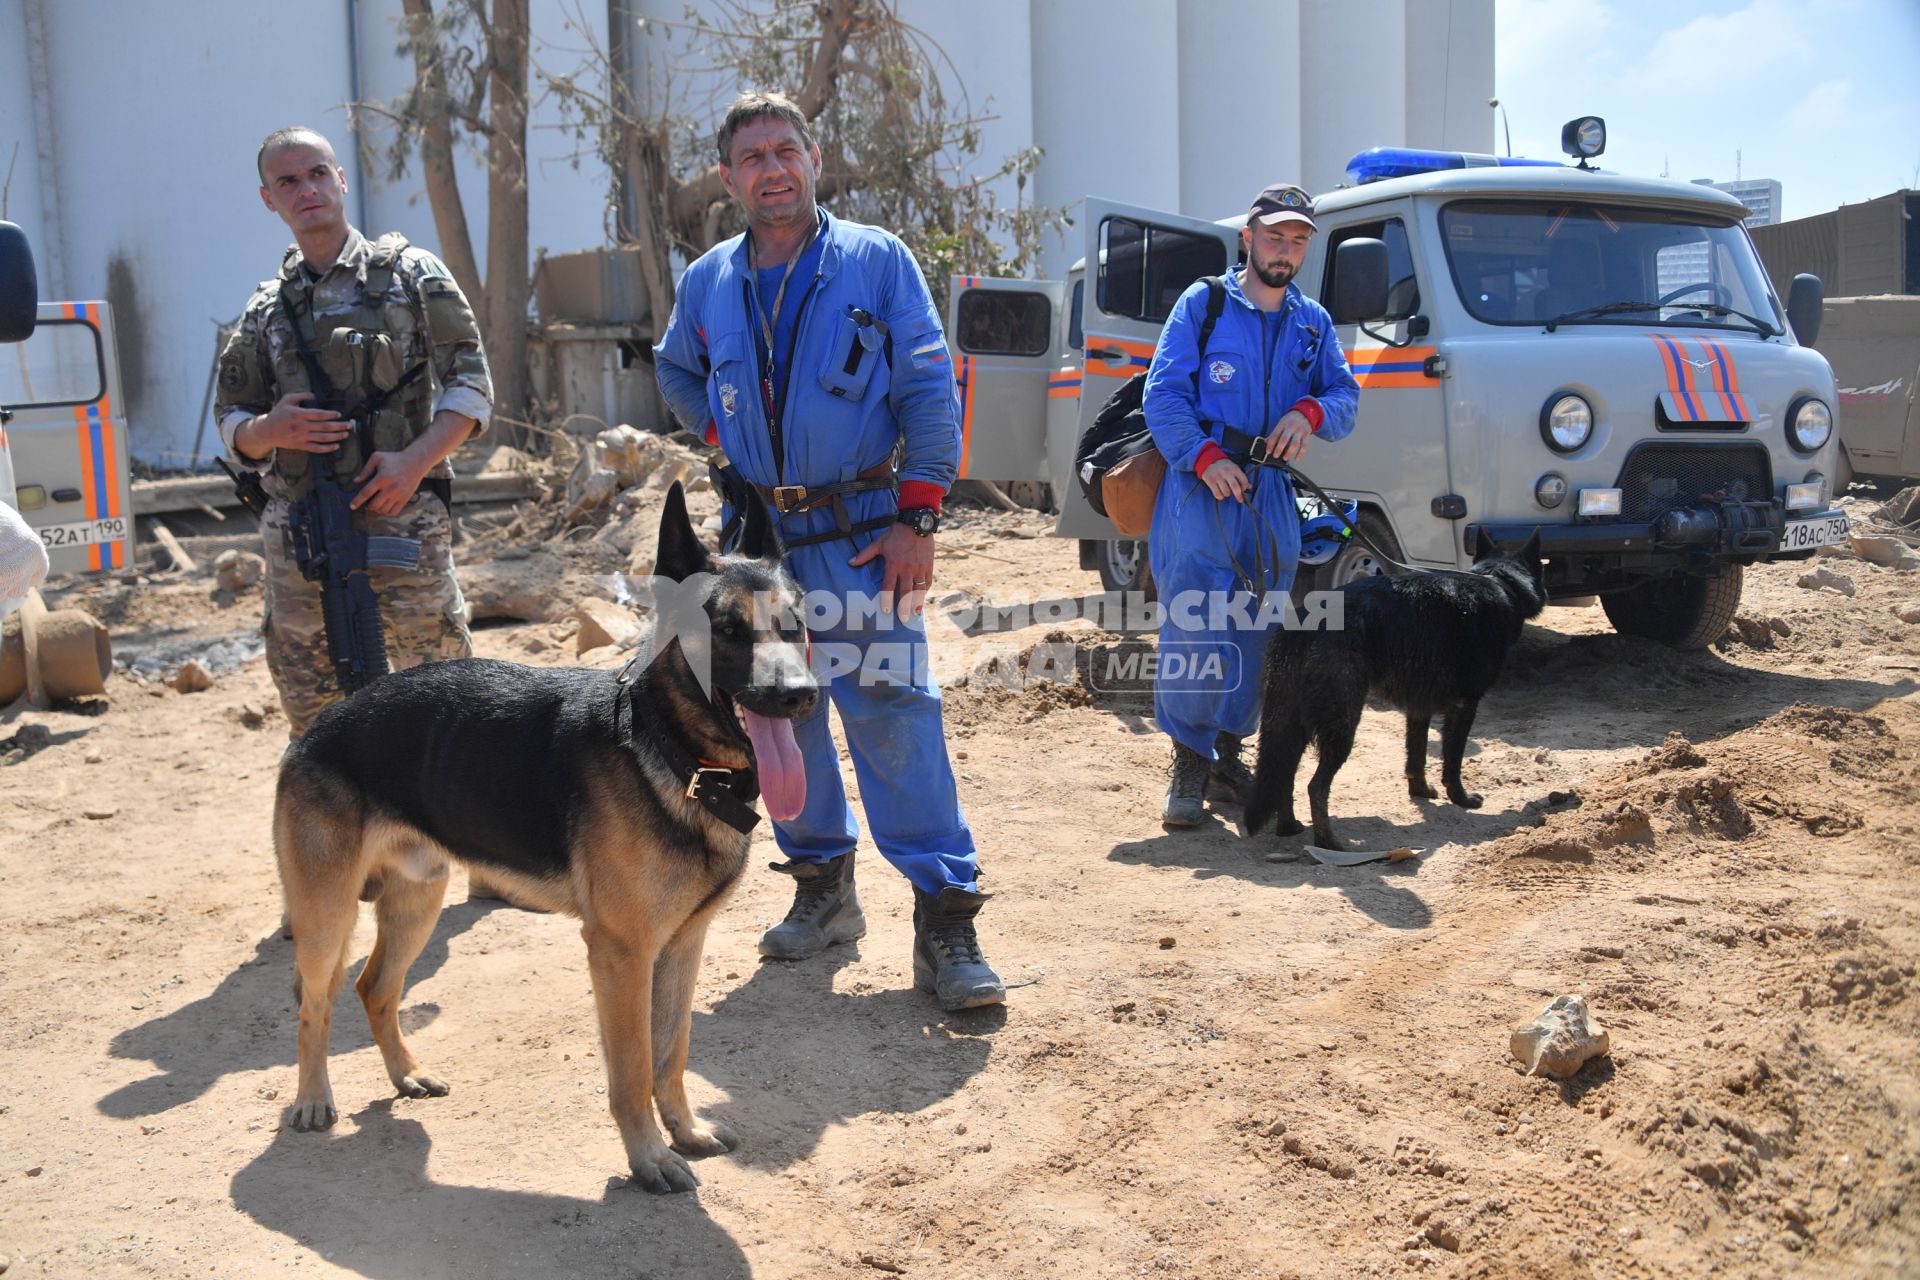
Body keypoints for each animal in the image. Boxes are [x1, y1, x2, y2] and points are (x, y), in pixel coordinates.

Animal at [1244, 529, 1543, 852]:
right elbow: (1452, 762)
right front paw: (1461, 799)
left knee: (1285, 778)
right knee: (1315, 787)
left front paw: (1421, 790)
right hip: (1341, 728)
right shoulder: (1464, 708)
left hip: (1293, 728)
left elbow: (1417, 754)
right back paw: (1328, 843)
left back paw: (1289, 827)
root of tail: (1303, 623)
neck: (1499, 581)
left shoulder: (1419, 709)